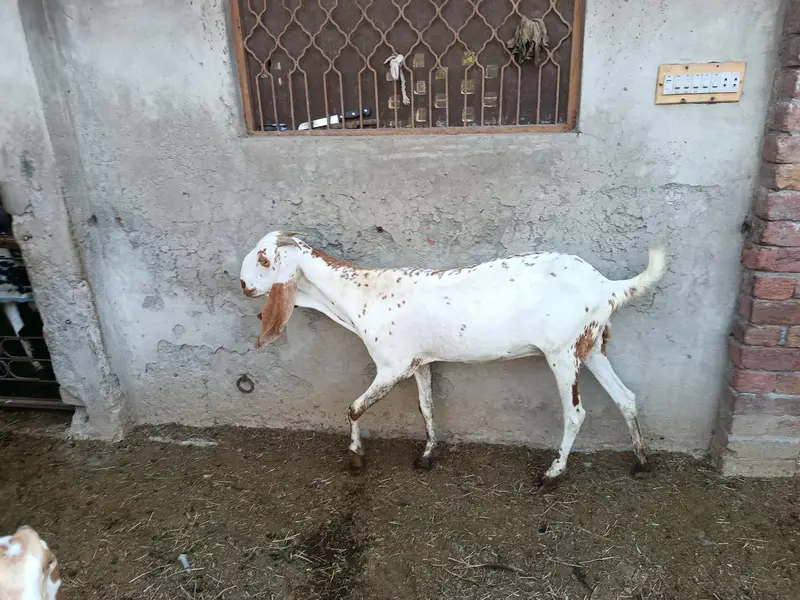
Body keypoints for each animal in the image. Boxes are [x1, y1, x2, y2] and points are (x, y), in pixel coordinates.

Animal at [240, 232, 666, 487]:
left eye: (263, 259)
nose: (242, 285)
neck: (362, 294)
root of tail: (607, 286)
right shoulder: (419, 362)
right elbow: (427, 406)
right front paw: (427, 455)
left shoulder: (393, 365)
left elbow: (354, 407)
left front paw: (356, 457)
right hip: (591, 345)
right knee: (626, 397)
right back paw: (642, 461)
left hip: (562, 351)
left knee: (575, 413)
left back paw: (553, 473)